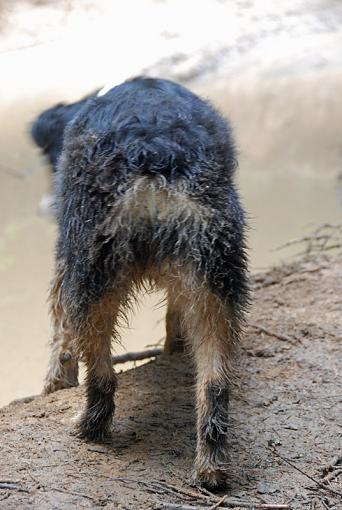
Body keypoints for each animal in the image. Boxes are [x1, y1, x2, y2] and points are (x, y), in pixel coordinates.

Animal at [33, 77, 250, 488]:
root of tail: (153, 156)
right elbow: (174, 319)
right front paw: (173, 349)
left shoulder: (63, 260)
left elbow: (59, 336)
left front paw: (56, 382)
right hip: (214, 281)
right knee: (215, 384)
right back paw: (211, 467)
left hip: (89, 274)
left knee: (100, 374)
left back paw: (88, 428)